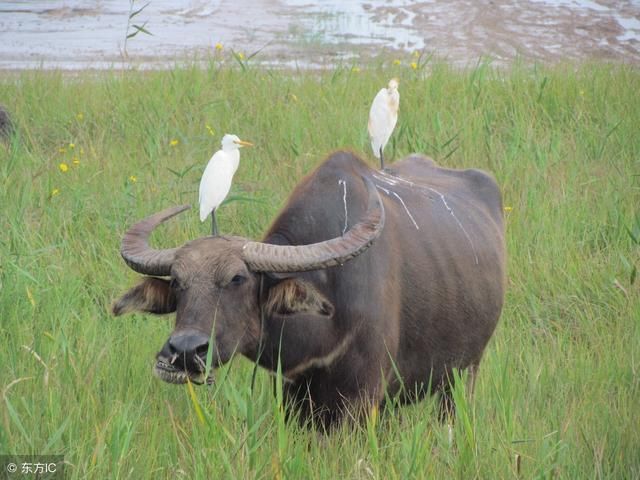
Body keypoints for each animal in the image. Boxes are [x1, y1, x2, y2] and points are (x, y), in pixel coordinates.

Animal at [114, 151, 504, 428]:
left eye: (238, 279)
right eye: (178, 282)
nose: (184, 351)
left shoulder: (364, 397)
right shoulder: (296, 397)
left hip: (463, 374)